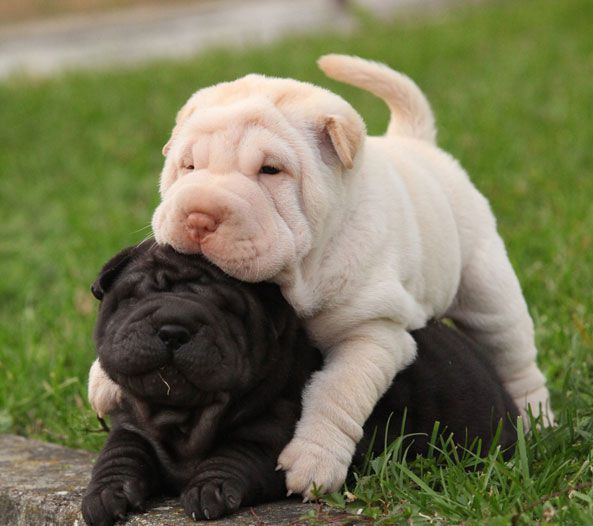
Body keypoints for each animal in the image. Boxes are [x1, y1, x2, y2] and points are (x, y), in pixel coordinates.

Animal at [83, 243, 520, 526]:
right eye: (134, 297)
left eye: (229, 311)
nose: (174, 328)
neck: (182, 418)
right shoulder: (132, 425)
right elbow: (120, 454)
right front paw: (104, 495)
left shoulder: (271, 440)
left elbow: (234, 457)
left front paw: (210, 489)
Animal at [89, 53, 552, 500]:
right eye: (188, 166)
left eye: (271, 170)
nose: (199, 217)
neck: (300, 276)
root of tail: (416, 142)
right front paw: (101, 380)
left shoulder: (373, 332)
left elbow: (337, 390)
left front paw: (313, 463)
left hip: (486, 285)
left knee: (514, 356)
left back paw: (539, 422)